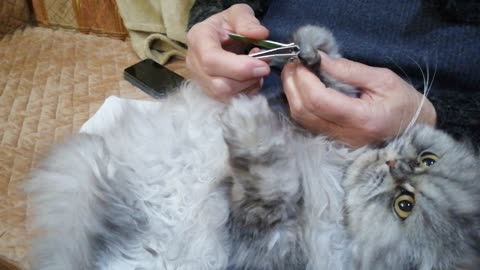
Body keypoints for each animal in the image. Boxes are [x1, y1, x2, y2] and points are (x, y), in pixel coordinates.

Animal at [26, 25, 480, 270]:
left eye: (406, 206)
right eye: (428, 159)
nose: (393, 163)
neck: (338, 172)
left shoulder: (265, 240)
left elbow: (271, 180)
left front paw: (249, 123)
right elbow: (335, 79)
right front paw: (311, 48)